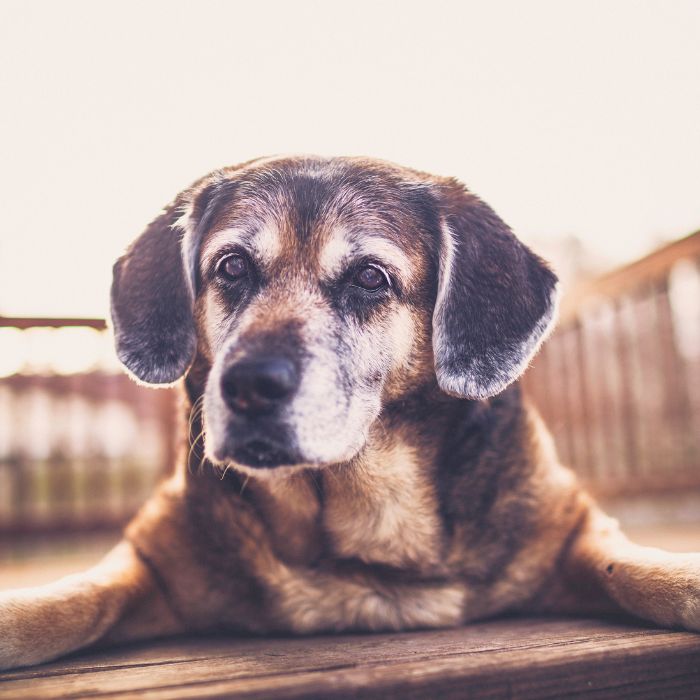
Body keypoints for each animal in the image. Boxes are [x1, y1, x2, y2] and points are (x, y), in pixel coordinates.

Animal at [1, 156, 700, 668]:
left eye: (370, 277)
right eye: (231, 266)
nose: (248, 385)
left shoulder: (575, 529)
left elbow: (638, 570)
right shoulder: (150, 559)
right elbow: (69, 603)